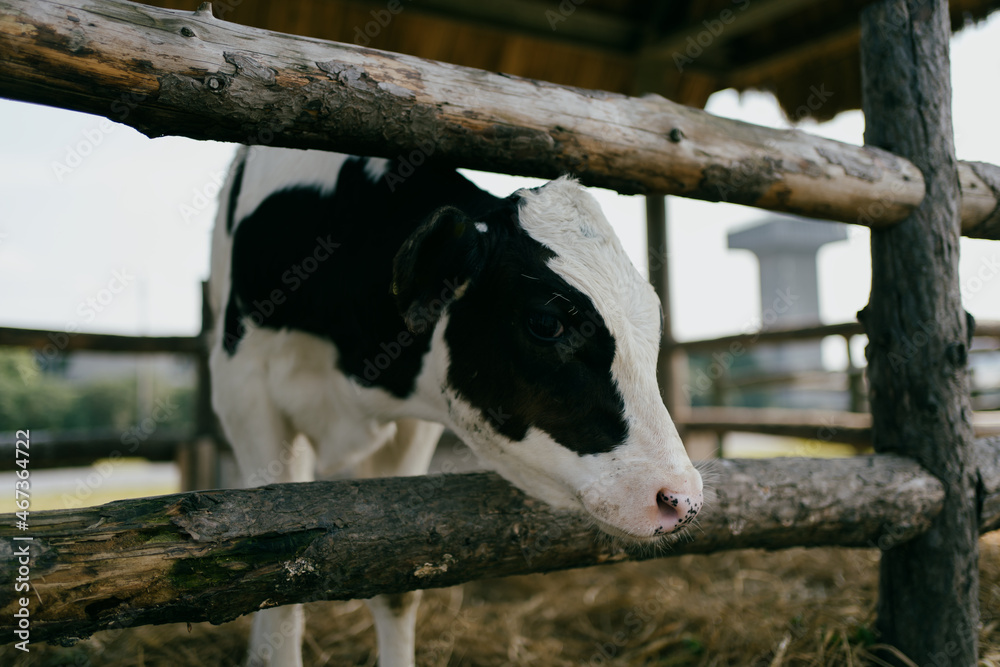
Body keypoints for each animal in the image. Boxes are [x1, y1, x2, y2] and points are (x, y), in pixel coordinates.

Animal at [207, 147, 700, 667]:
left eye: (653, 320)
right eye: (546, 323)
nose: (681, 499)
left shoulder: (409, 432)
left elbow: (395, 583)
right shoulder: (244, 392)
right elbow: (277, 573)